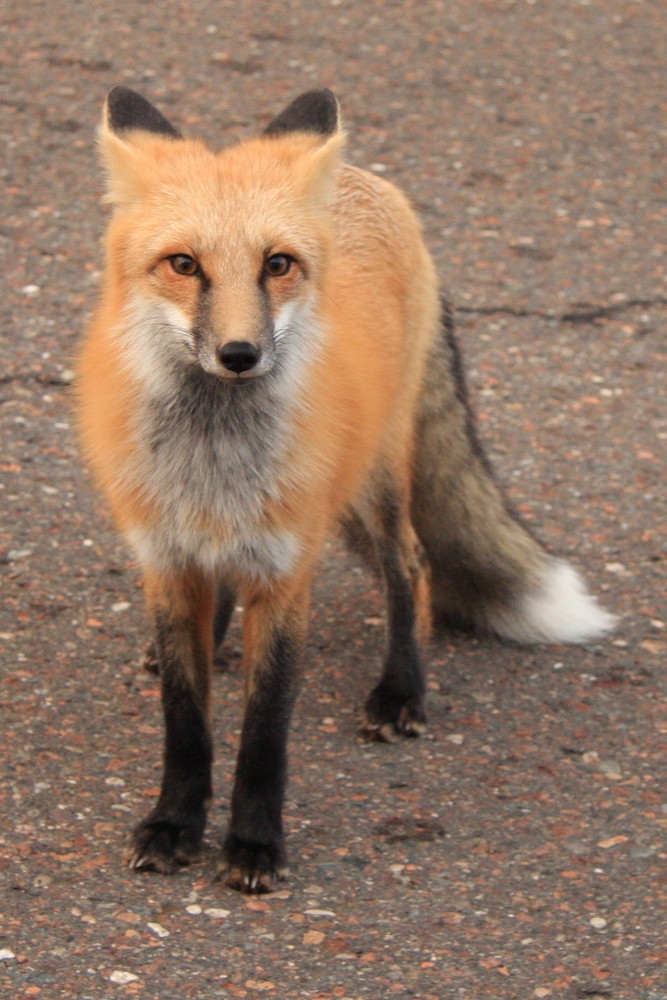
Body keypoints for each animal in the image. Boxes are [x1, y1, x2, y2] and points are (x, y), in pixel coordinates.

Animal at [75, 90, 612, 896]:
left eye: (276, 265)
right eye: (183, 265)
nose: (240, 354)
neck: (215, 456)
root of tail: (367, 180)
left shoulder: (287, 573)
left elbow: (263, 734)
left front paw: (254, 843)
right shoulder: (166, 561)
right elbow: (186, 723)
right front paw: (173, 823)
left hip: (375, 481)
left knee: (412, 567)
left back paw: (401, 691)